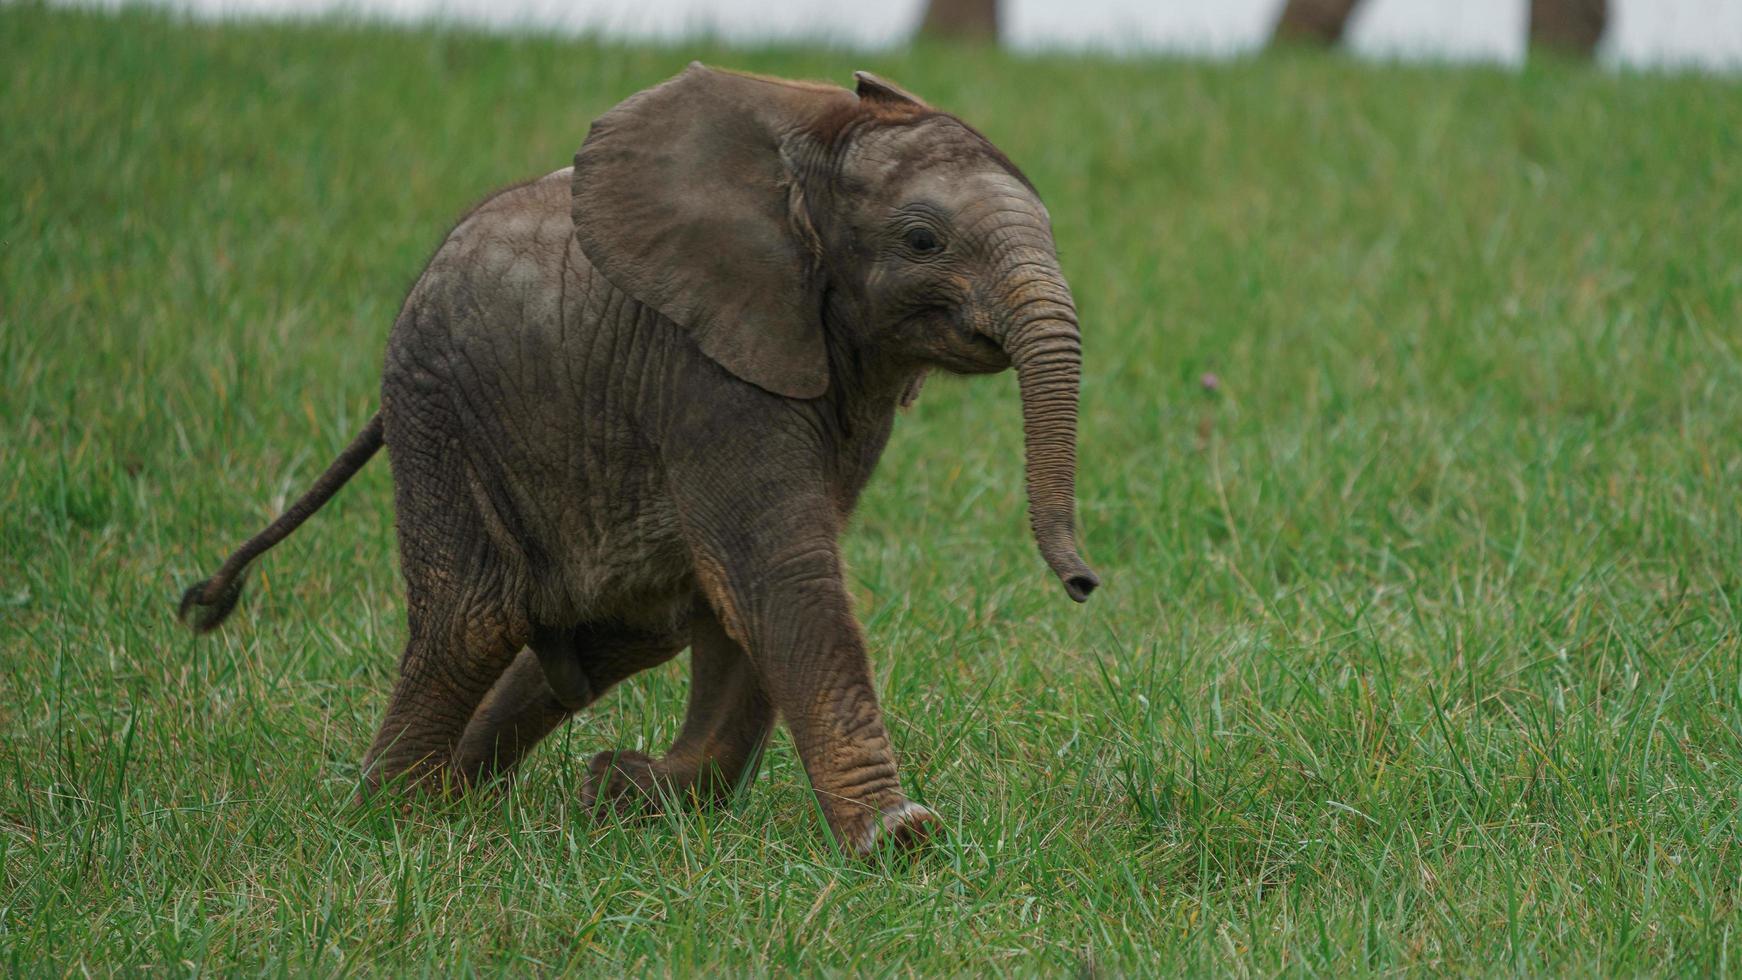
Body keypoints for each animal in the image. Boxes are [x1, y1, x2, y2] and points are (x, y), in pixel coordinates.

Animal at [180, 65, 1100, 856]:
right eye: (921, 240)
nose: (1083, 583)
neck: (805, 156)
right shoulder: (703, 364)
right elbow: (779, 568)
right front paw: (901, 841)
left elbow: (748, 586)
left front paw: (635, 795)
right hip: (440, 413)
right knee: (471, 621)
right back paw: (398, 814)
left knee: (617, 630)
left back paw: (467, 793)